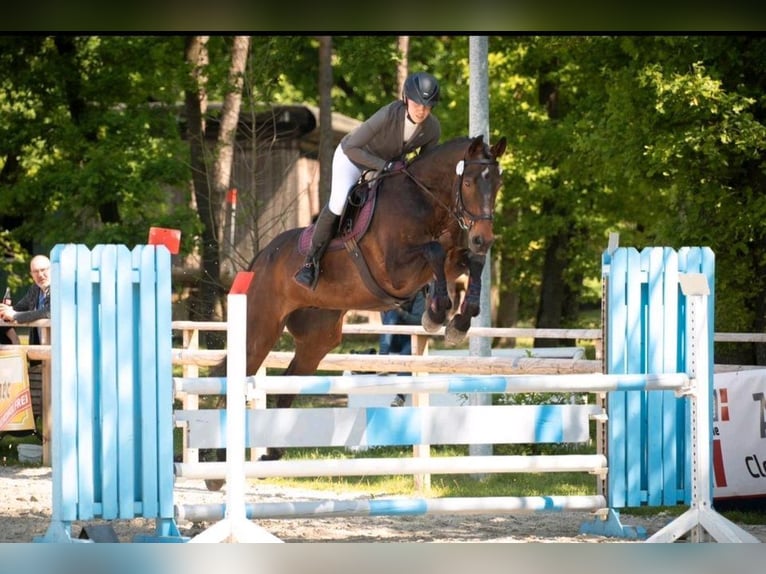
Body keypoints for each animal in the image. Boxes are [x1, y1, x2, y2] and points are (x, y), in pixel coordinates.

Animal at [237, 135, 508, 464]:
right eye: (468, 182)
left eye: (497, 183)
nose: (484, 239)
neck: (425, 201)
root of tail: (259, 259)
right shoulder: (396, 271)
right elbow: (433, 250)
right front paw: (437, 314)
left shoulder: (449, 261)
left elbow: (470, 261)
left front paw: (459, 320)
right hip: (260, 330)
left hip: (317, 339)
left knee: (288, 381)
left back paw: (271, 452)